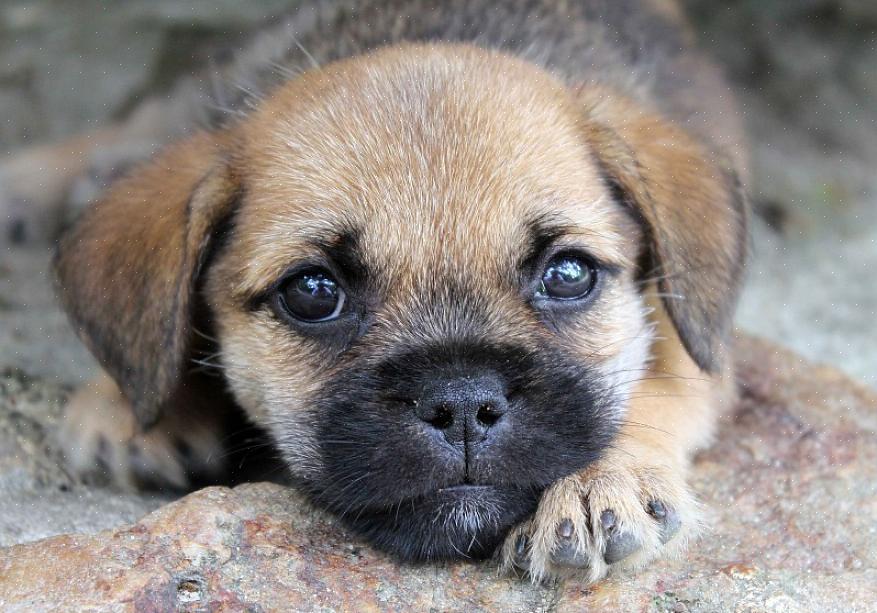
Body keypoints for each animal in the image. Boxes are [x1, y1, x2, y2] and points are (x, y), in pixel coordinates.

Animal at [48, 0, 748, 584]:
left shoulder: (698, 343)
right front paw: (130, 402)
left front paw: (602, 482)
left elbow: (659, 382)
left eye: (568, 274)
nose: (462, 405)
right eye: (312, 292)